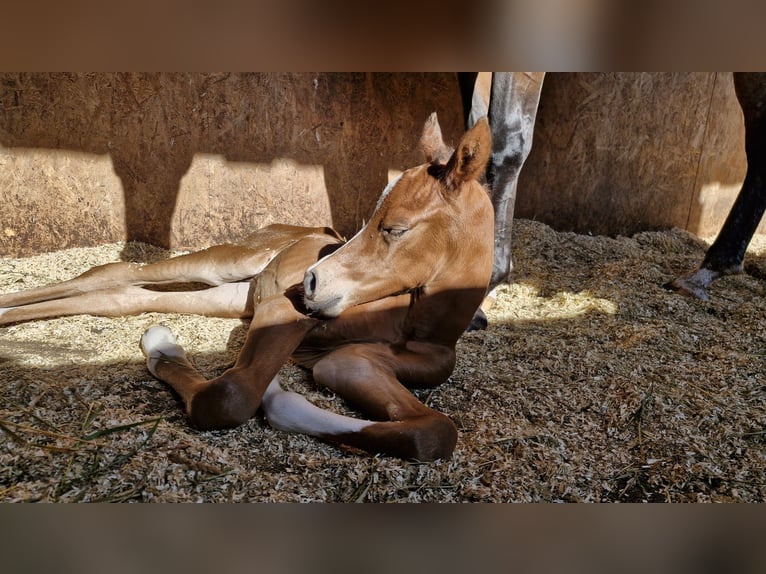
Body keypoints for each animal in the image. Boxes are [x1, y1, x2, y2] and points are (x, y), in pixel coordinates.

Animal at [0, 114, 494, 461]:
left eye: (395, 228)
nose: (312, 281)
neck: (413, 323)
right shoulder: (284, 311)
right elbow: (230, 397)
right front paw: (170, 355)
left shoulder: (351, 365)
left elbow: (433, 432)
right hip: (230, 263)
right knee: (112, 272)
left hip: (234, 297)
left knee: (121, 297)